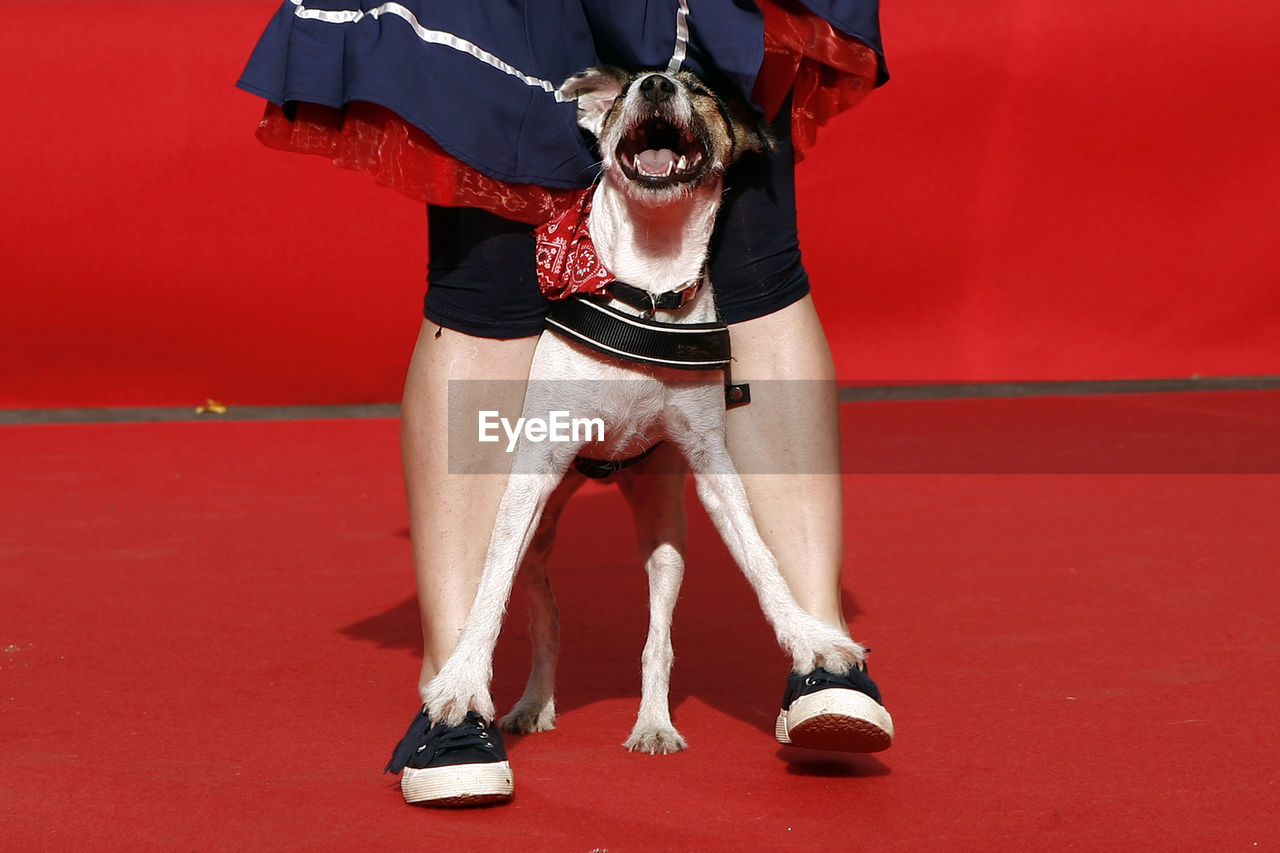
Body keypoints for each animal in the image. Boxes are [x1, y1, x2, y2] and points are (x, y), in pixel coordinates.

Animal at [424, 68, 865, 758]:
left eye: (701, 88)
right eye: (629, 85)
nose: (656, 84)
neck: (647, 291)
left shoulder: (713, 463)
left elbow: (761, 559)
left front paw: (810, 639)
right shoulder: (532, 471)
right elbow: (489, 589)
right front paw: (462, 683)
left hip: (665, 532)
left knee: (656, 636)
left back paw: (653, 722)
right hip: (539, 533)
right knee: (545, 617)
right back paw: (532, 704)